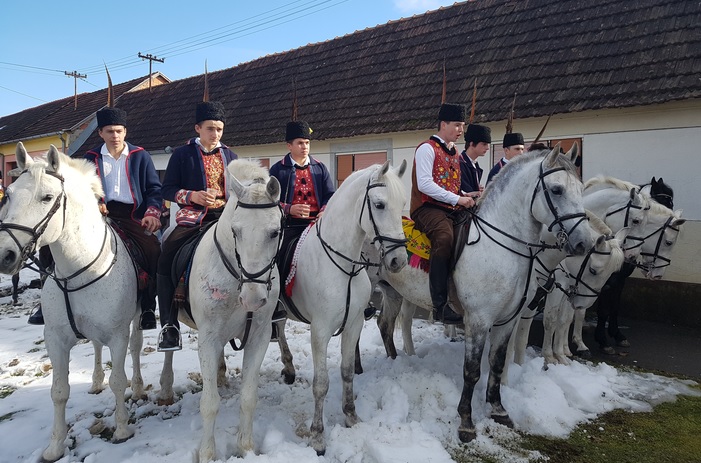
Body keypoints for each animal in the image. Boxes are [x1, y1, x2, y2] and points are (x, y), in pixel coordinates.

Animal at [0, 143, 144, 462]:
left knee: (136, 347)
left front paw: (122, 429)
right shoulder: (55, 338)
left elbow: (119, 380)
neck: (78, 269)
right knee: (96, 346)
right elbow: (59, 391)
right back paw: (95, 381)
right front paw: (55, 446)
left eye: (47, 197)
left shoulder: (117, 334)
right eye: (9, 194)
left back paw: (139, 386)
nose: (4, 255)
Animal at [156, 159, 282, 460]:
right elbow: (209, 403)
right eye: (236, 231)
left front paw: (246, 448)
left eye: (274, 232)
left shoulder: (258, 336)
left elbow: (249, 397)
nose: (252, 299)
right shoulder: (208, 338)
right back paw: (165, 388)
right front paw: (207, 454)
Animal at [272, 161, 404, 454]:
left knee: (280, 325)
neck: (344, 264)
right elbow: (321, 384)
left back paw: (289, 368)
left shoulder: (354, 324)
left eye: (403, 203)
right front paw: (318, 436)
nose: (399, 260)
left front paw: (351, 416)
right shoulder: (320, 331)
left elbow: (347, 372)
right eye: (379, 204)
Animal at [378, 147, 592, 444]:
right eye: (557, 189)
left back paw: (394, 363)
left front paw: (498, 409)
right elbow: (471, 371)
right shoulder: (478, 320)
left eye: (581, 189)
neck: (502, 246)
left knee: (386, 326)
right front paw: (466, 423)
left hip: (394, 292)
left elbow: (497, 363)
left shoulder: (507, 320)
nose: (585, 243)